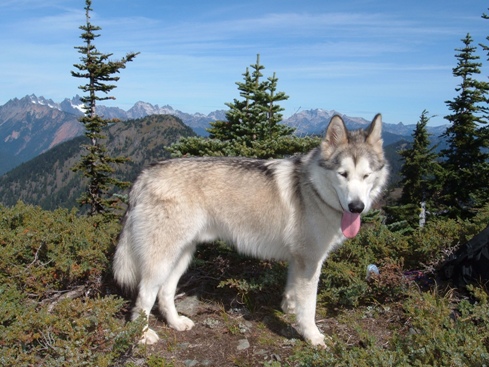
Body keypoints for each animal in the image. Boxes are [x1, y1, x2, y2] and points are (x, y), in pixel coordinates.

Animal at [114, 114, 388, 348]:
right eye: (343, 174)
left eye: (366, 175)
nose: (356, 207)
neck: (314, 190)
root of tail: (145, 173)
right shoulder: (310, 262)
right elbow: (309, 307)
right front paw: (312, 336)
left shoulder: (297, 260)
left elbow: (292, 292)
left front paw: (289, 309)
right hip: (161, 262)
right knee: (144, 297)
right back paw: (142, 336)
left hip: (182, 256)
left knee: (165, 293)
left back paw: (176, 323)